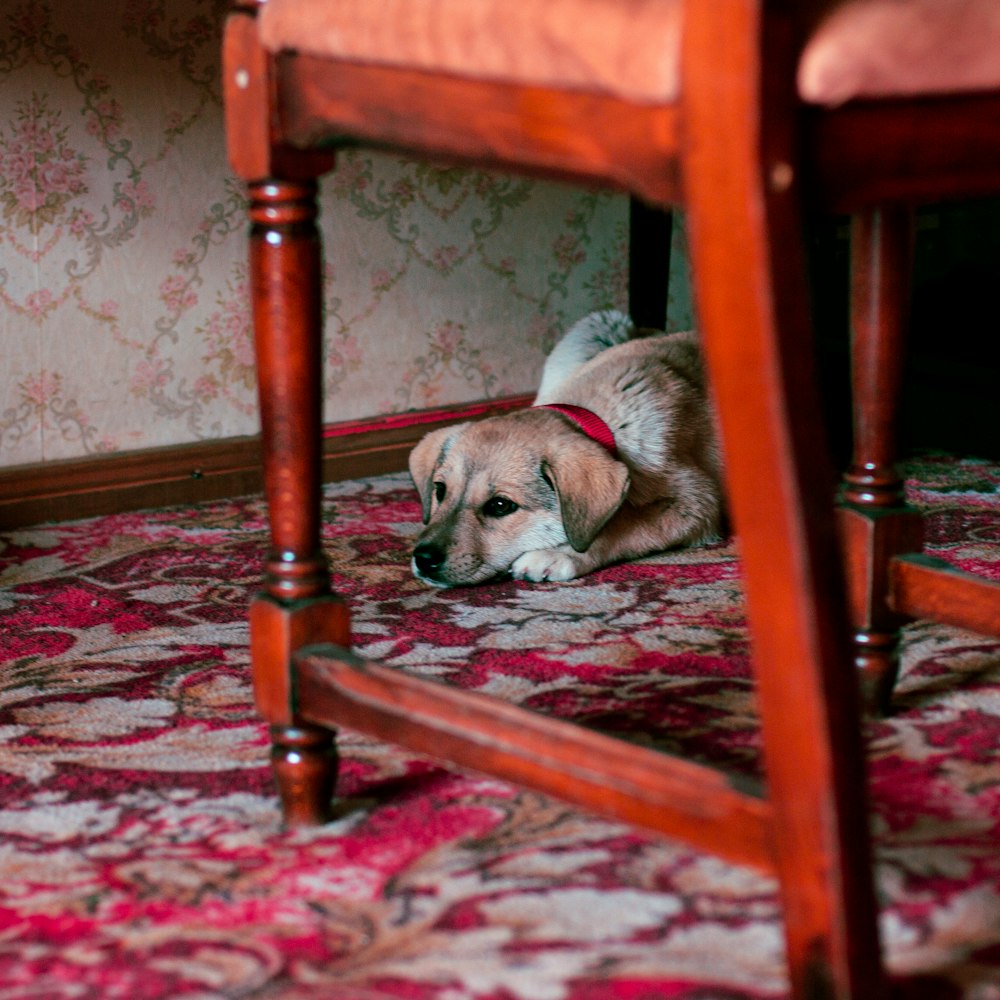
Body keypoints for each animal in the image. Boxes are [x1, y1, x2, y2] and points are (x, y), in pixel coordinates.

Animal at [406, 308, 728, 584]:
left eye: (500, 505)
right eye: (440, 490)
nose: (423, 559)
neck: (597, 418)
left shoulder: (697, 502)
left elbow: (621, 526)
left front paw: (555, 553)